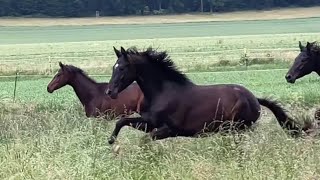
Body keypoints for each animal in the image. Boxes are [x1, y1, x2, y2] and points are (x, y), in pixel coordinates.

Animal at [106, 46, 312, 145]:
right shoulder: (150, 123)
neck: (163, 93)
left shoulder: (169, 130)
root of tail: (254, 98)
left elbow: (144, 140)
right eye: (113, 67)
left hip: (238, 128)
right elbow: (122, 121)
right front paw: (111, 142)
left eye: (122, 68)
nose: (110, 92)